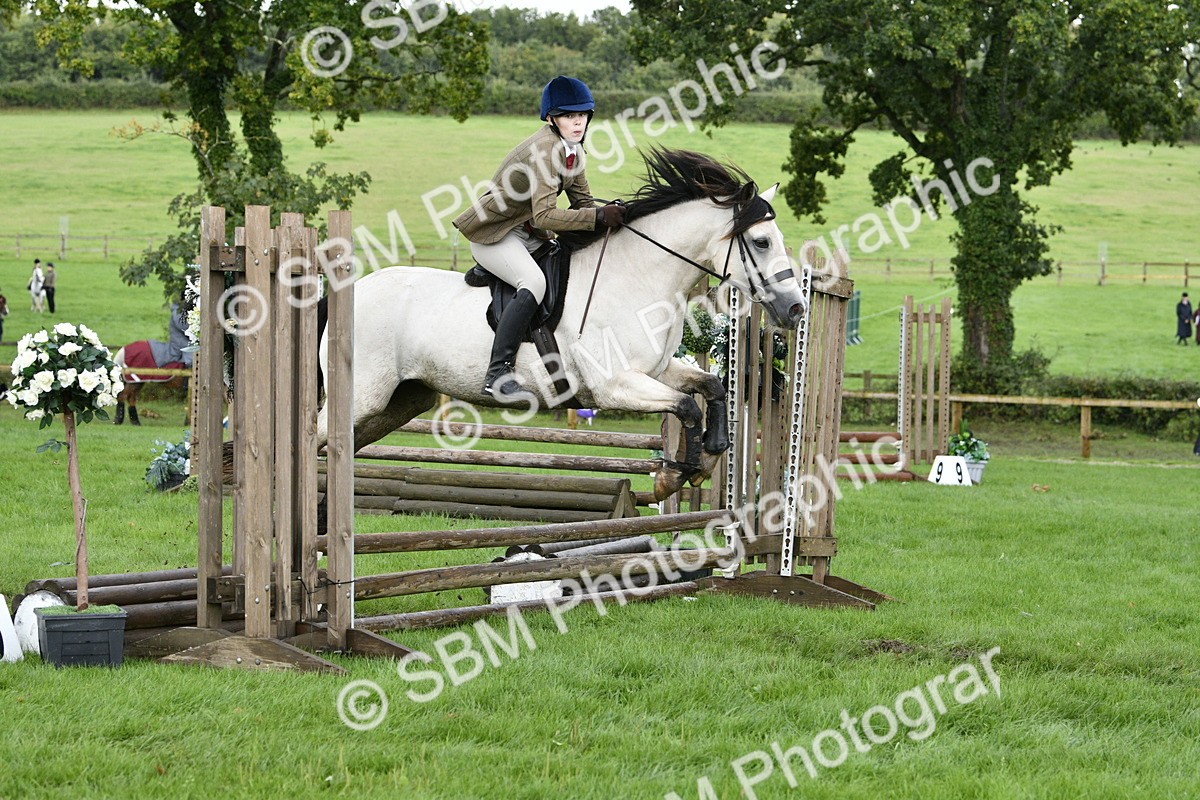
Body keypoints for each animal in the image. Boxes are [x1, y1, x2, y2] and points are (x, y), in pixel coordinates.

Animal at [315, 148, 808, 500]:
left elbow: (711, 387)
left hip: (401, 400)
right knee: (317, 436)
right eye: (762, 242)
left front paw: (706, 459)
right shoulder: (614, 385)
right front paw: (675, 476)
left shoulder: (653, 371)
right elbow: (686, 406)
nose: (796, 310)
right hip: (363, 395)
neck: (635, 276)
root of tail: (348, 291)